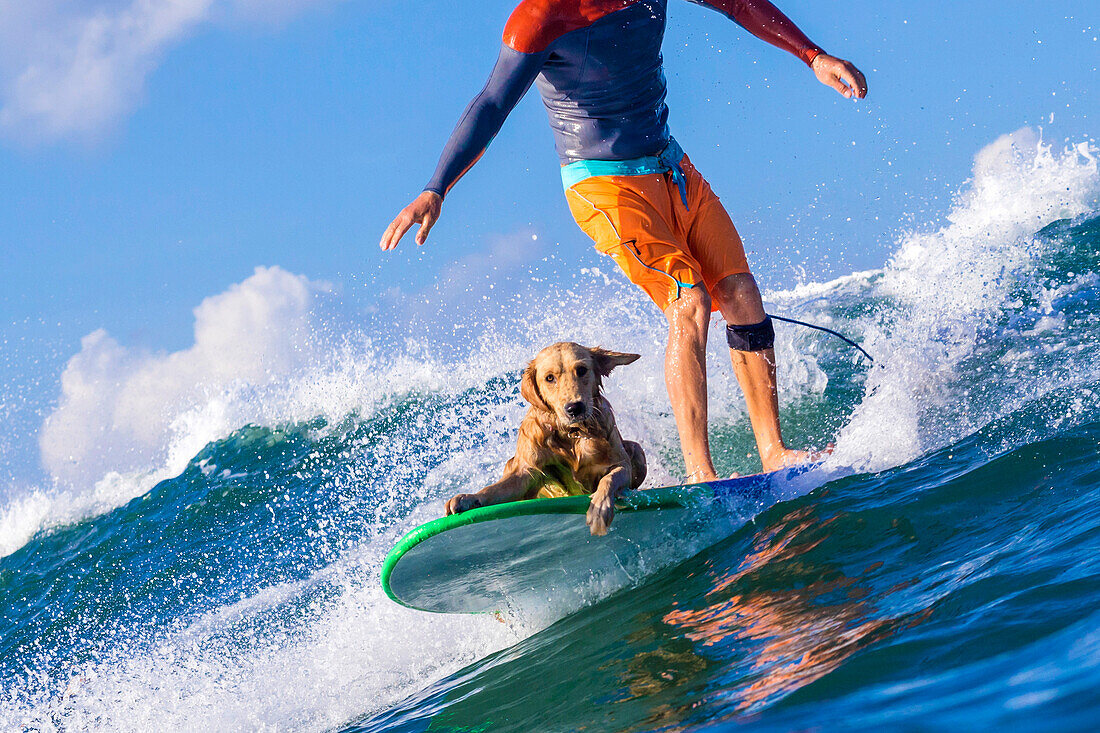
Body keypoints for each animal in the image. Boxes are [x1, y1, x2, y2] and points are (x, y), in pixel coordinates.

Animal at [444, 338, 646, 534]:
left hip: (637, 450)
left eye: (581, 370)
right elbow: (493, 490)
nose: (575, 408)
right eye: (550, 378)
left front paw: (600, 508)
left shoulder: (621, 463)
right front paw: (468, 498)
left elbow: (608, 479)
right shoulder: (526, 472)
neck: (572, 434)